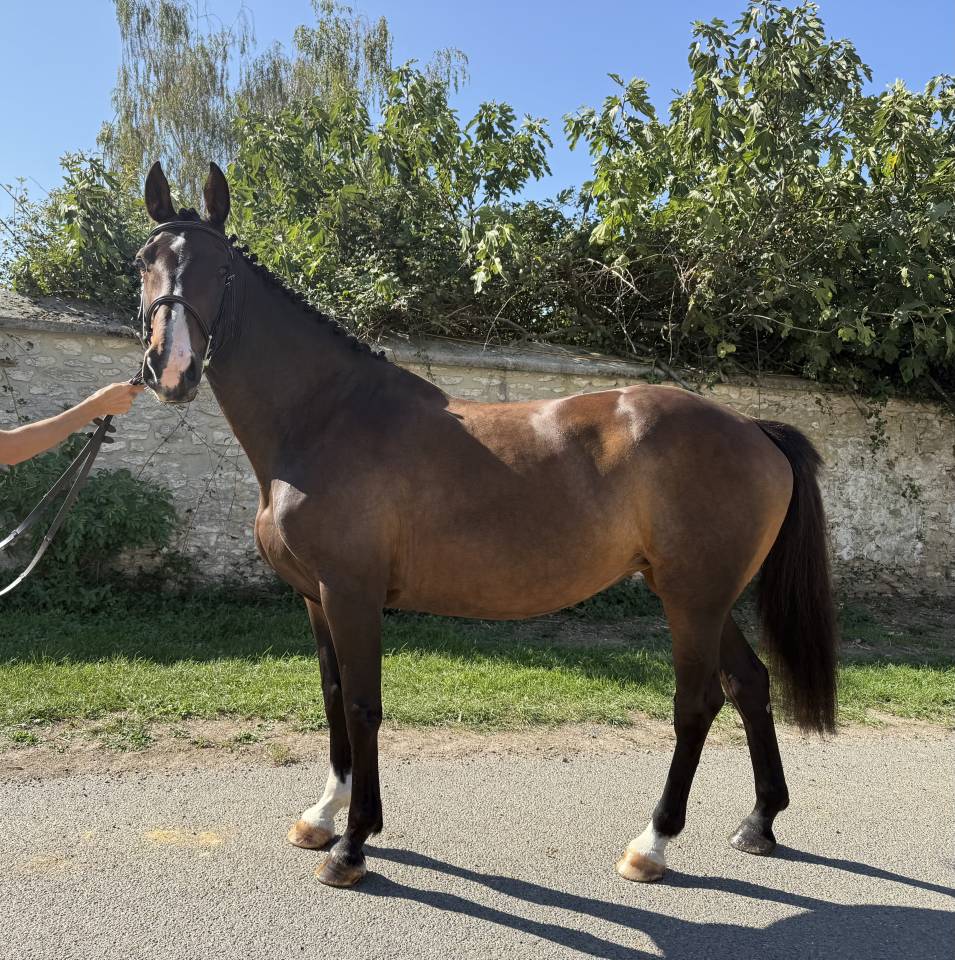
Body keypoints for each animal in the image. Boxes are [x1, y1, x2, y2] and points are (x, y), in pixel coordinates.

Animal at [136, 160, 837, 889]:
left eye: (221, 269)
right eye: (143, 263)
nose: (171, 369)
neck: (326, 417)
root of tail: (753, 428)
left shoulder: (351, 593)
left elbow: (362, 705)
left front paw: (352, 844)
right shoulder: (314, 598)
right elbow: (332, 698)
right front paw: (321, 816)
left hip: (692, 599)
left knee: (697, 704)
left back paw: (651, 844)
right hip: (700, 595)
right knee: (750, 684)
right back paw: (759, 822)